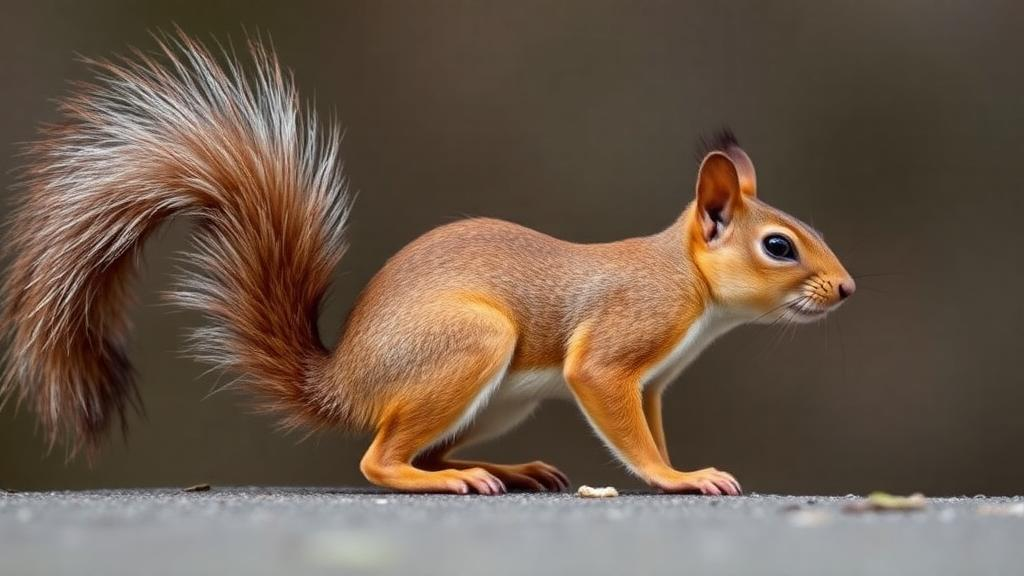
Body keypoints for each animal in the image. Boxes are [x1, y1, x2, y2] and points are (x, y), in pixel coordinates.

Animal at [1, 33, 854, 495]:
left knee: (425, 444)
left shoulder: (653, 383)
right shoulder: (618, 348)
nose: (845, 289)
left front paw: (681, 468)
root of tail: (344, 381)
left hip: (492, 394)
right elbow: (623, 422)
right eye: (779, 245)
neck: (690, 287)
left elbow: (648, 427)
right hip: (470, 346)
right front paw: (680, 478)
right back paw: (449, 478)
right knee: (383, 460)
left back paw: (505, 470)